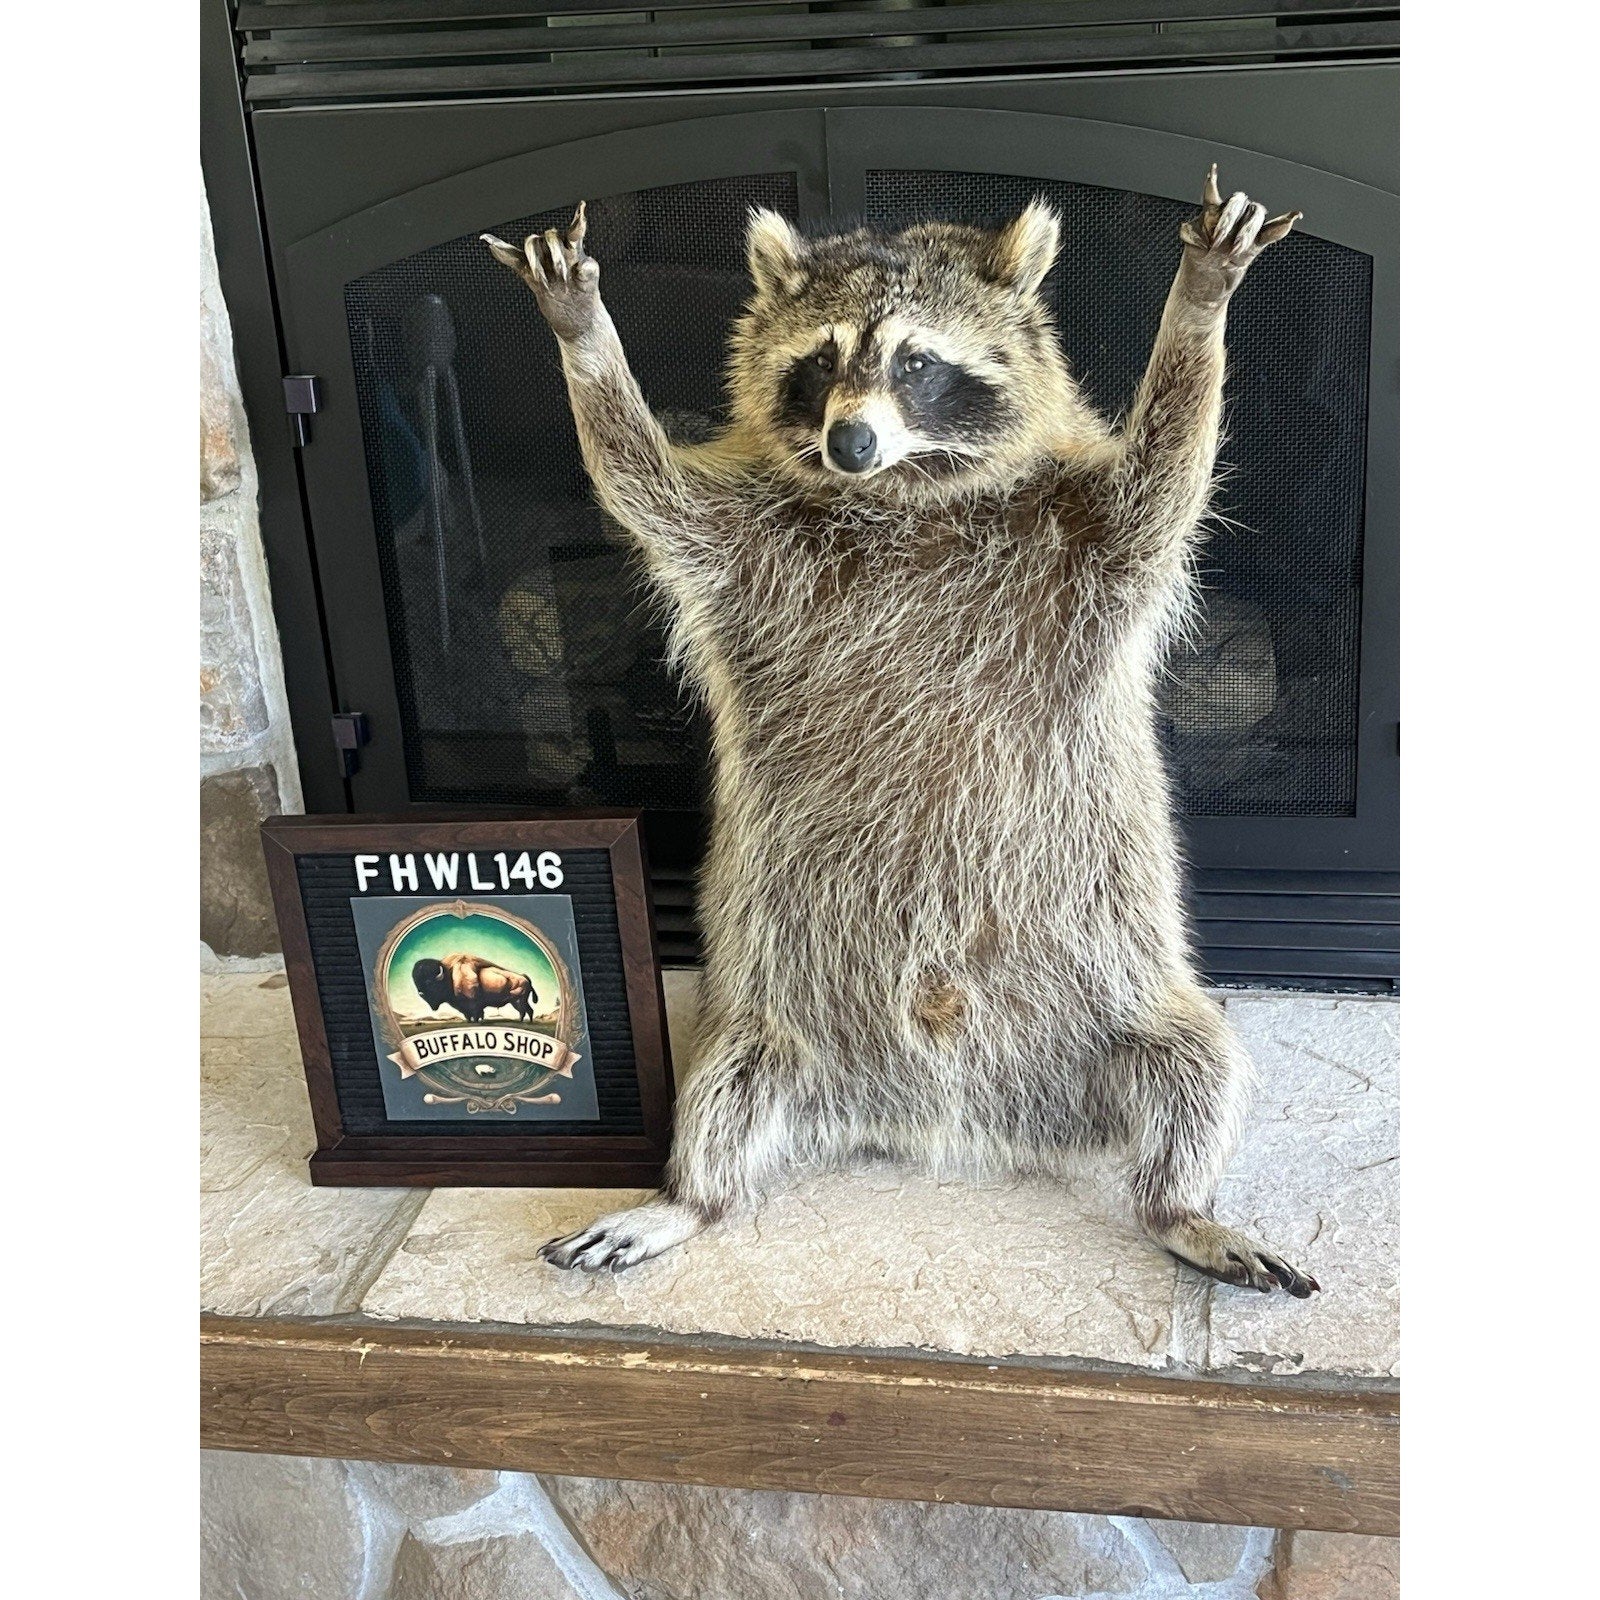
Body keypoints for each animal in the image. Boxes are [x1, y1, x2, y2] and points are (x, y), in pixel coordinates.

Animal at [484, 168, 1318, 1297]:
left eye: (917, 363)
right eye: (821, 361)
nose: (851, 442)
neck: (904, 493)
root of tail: (949, 1122)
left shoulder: (1088, 539)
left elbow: (1168, 467)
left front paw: (1198, 305)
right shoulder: (740, 545)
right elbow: (639, 480)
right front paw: (583, 335)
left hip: (1138, 1005)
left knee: (1198, 1068)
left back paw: (1181, 1205)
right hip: (761, 1019)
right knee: (721, 1093)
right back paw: (687, 1197)